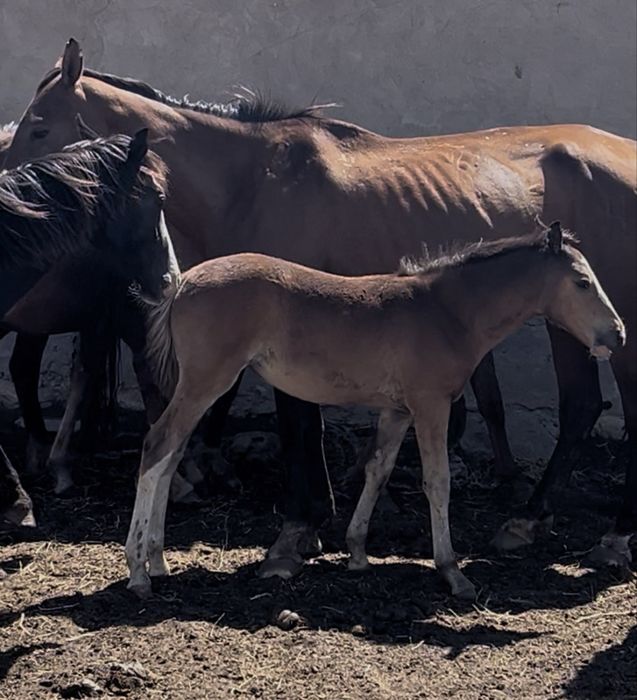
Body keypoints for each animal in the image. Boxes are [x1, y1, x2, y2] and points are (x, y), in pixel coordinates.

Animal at [124, 222, 624, 599]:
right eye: (582, 282)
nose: (617, 334)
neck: (445, 313)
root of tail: (182, 284)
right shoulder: (430, 405)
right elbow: (437, 481)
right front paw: (452, 571)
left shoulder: (396, 411)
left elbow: (377, 471)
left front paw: (358, 553)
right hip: (207, 381)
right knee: (157, 446)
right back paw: (138, 571)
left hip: (199, 387)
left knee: (171, 456)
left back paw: (159, 559)